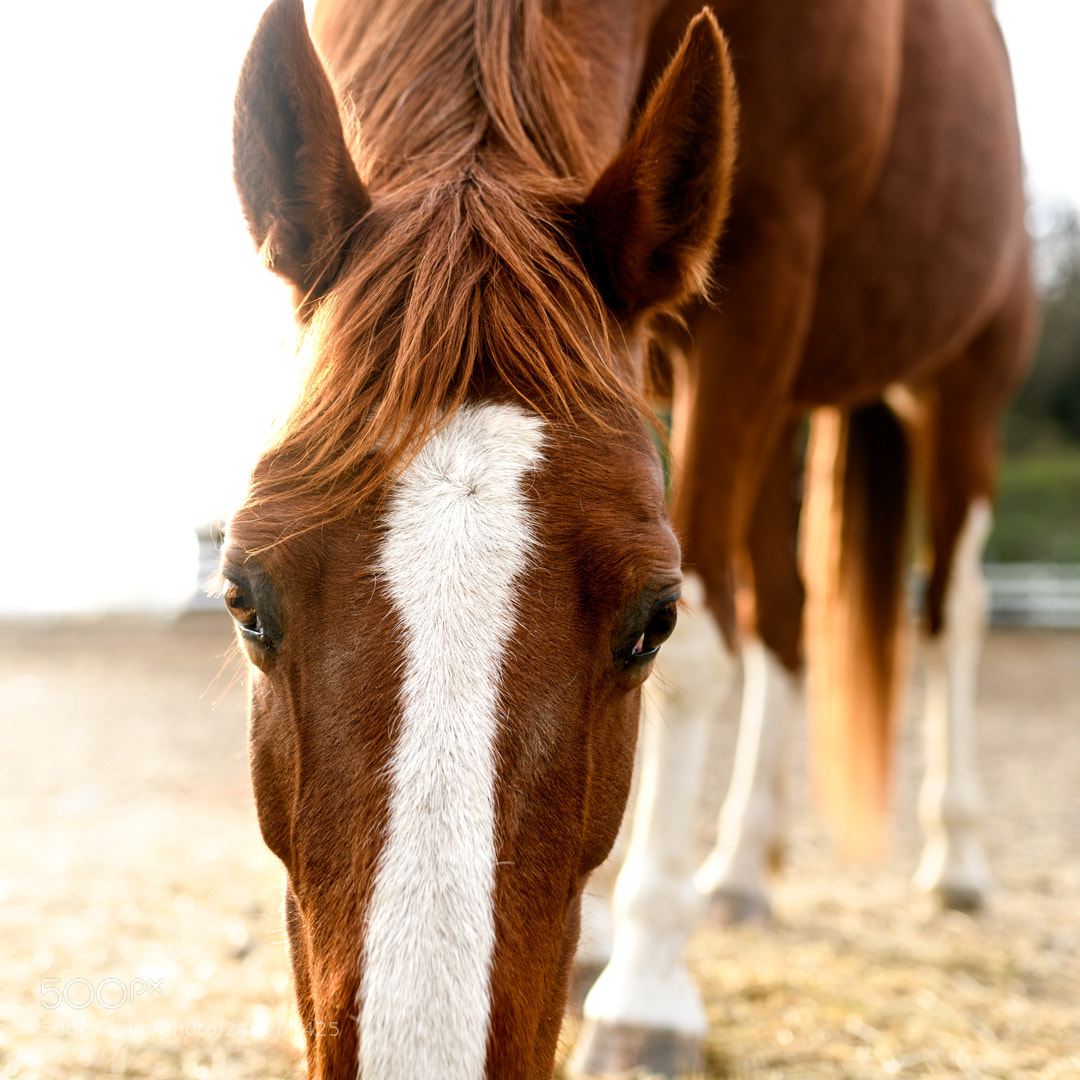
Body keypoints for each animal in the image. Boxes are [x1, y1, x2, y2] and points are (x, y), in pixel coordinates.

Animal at [226, 0, 1033, 1077]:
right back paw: (740, 870)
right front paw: (614, 938)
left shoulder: (765, 279)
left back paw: (959, 858)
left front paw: (648, 992)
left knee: (951, 611)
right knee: (785, 615)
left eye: (652, 622)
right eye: (243, 601)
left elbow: (703, 656)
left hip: (960, 388)